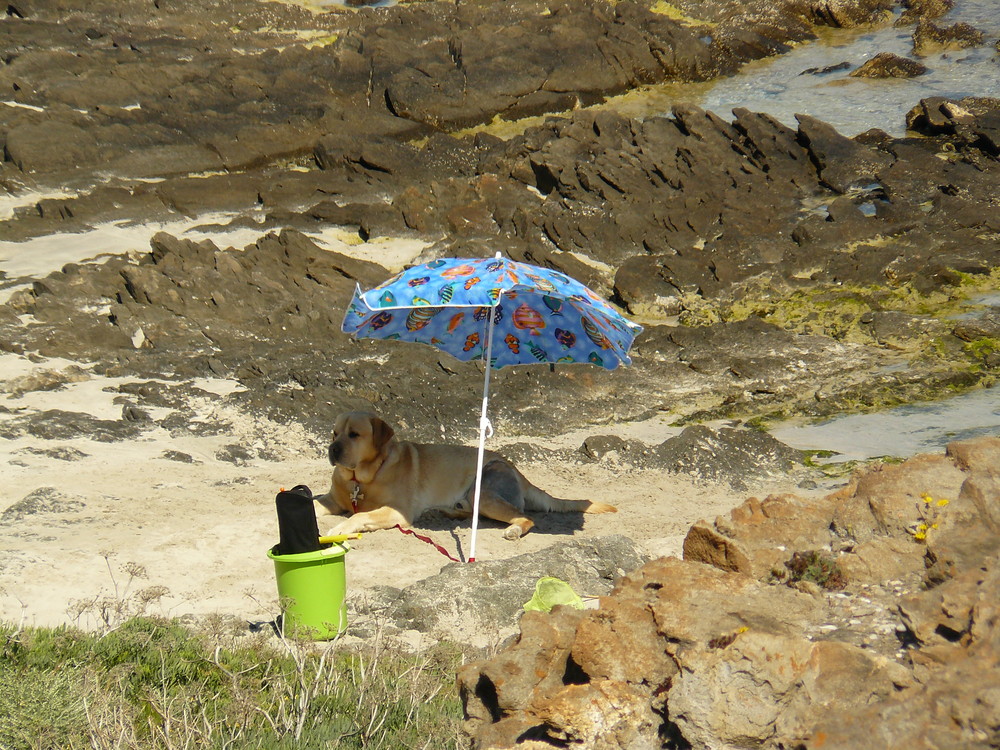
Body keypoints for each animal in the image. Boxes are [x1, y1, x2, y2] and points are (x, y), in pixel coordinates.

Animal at [314, 412, 616, 540]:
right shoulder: (332, 499)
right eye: (334, 433)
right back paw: (449, 511)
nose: (332, 449)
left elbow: (360, 515)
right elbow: (315, 503)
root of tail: (518, 471)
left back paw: (513, 530)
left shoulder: (398, 511)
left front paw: (342, 527)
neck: (361, 478)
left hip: (483, 491)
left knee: (525, 517)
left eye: (355, 434)